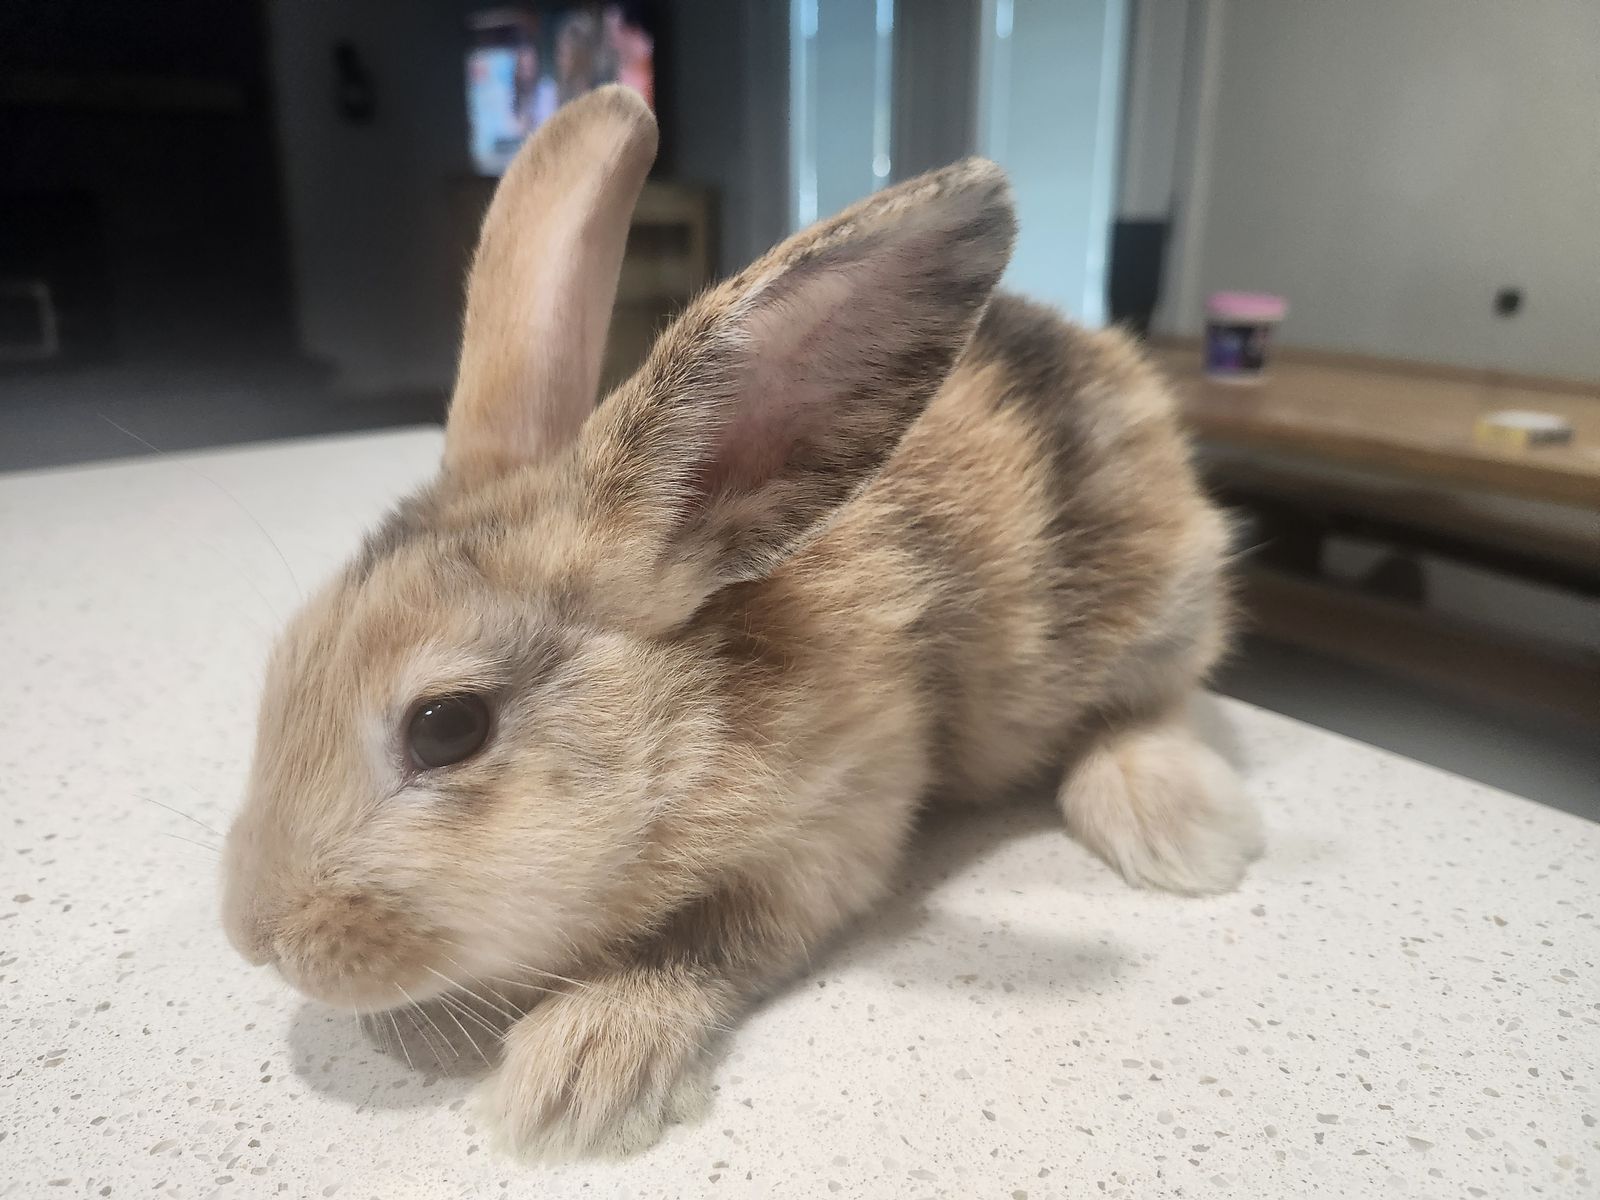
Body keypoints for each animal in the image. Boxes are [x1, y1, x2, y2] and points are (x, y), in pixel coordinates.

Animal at [221, 85, 1261, 1160]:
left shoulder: (837, 821)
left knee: (1152, 707)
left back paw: (1178, 831)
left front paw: (569, 1084)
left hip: (1158, 612)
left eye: (446, 728)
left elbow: (698, 948)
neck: (695, 711)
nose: (256, 935)